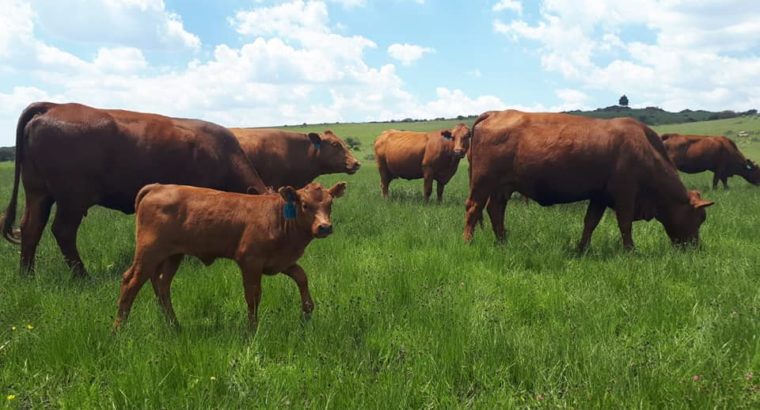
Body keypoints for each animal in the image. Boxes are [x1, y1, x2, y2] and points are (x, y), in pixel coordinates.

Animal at [0, 102, 269, 278]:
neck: (223, 154)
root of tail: (54, 106)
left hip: (38, 192)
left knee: (31, 227)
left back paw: (27, 275)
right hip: (72, 198)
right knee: (63, 231)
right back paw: (82, 276)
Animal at [112, 181, 347, 331]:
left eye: (330, 204)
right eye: (305, 205)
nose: (325, 227)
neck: (278, 217)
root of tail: (158, 186)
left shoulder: (282, 261)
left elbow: (301, 277)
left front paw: (307, 310)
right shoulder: (250, 261)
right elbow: (253, 296)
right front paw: (252, 329)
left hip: (172, 256)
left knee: (162, 285)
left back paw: (175, 326)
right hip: (149, 252)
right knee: (130, 281)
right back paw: (119, 329)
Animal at [464, 110, 714, 250]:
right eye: (700, 218)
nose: (696, 248)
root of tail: (494, 113)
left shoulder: (600, 196)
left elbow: (590, 223)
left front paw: (581, 248)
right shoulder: (625, 194)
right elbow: (625, 224)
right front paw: (631, 251)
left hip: (502, 187)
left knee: (495, 210)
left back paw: (502, 242)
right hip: (483, 182)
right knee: (474, 208)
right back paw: (468, 242)